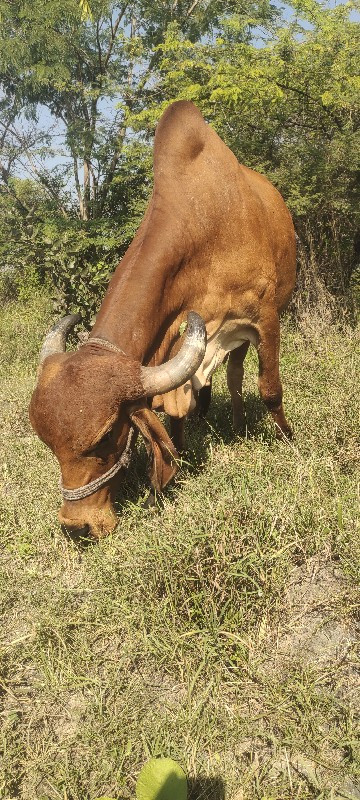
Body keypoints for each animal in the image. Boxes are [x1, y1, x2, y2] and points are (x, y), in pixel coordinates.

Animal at [29, 100, 296, 536]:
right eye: (49, 445)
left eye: (106, 438)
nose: (77, 525)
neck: (206, 229)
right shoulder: (174, 339)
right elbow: (175, 412)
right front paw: (182, 458)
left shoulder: (265, 318)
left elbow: (271, 389)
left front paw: (288, 439)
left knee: (238, 375)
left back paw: (241, 425)